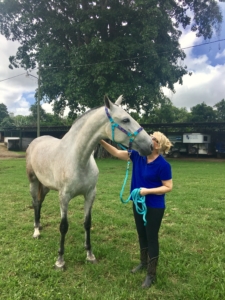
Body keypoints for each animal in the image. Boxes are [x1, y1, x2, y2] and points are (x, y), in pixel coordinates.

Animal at [25, 95, 153, 268]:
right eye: (125, 119)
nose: (150, 145)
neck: (78, 159)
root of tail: (36, 141)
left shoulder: (90, 194)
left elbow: (87, 223)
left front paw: (90, 255)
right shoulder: (64, 197)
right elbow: (63, 226)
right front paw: (60, 260)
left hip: (45, 186)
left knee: (40, 202)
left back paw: (39, 227)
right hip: (33, 182)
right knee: (36, 203)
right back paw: (36, 231)